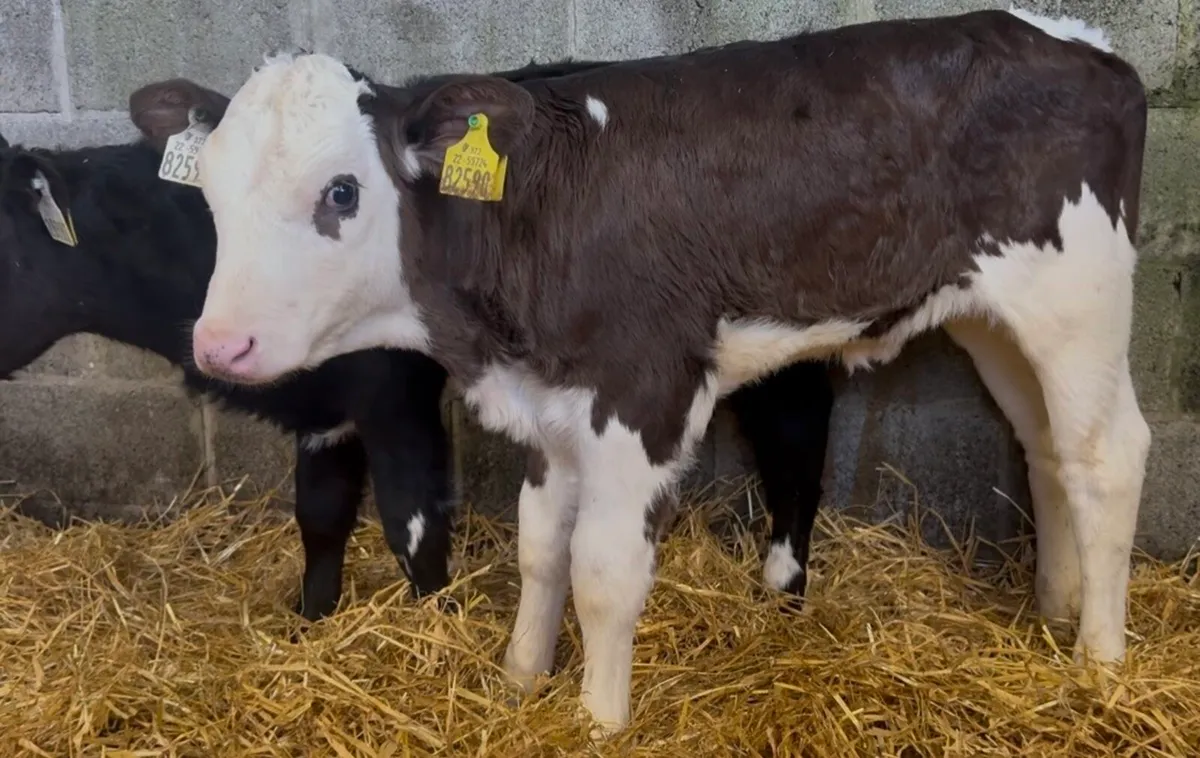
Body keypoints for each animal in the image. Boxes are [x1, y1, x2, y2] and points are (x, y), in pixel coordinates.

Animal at [134, 6, 1151, 737]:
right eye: (210, 190)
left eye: (342, 192)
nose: (219, 344)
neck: (535, 214)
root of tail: (1080, 41)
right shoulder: (549, 406)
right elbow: (540, 546)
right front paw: (518, 683)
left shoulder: (644, 393)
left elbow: (604, 570)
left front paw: (597, 719)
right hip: (995, 315)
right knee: (1048, 446)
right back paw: (1054, 613)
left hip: (1080, 292)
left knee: (1109, 455)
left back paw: (1100, 662)